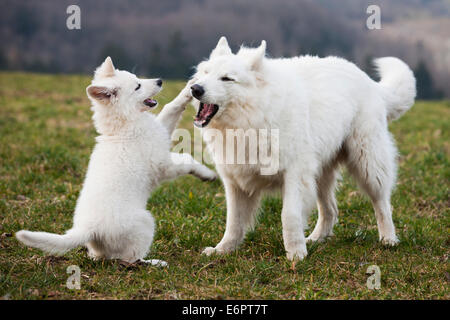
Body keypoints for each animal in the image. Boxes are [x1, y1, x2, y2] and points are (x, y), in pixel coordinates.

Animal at [15, 57, 216, 264]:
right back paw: (154, 263)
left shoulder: (162, 132)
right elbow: (187, 160)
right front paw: (208, 174)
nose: (160, 81)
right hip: (144, 223)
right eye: (137, 86)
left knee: (104, 256)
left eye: (137, 78)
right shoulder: (162, 165)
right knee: (129, 258)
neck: (122, 125)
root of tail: (88, 229)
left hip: (104, 245)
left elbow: (171, 108)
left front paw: (189, 88)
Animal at [190, 36, 414, 260]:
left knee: (382, 203)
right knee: (331, 210)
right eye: (206, 72)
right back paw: (316, 239)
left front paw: (296, 254)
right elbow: (234, 222)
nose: (195, 89)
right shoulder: (235, 182)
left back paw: (388, 240)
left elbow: (289, 215)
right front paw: (222, 250)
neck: (254, 115)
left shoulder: (295, 175)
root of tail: (370, 82)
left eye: (227, 78)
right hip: (321, 175)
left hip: (368, 166)